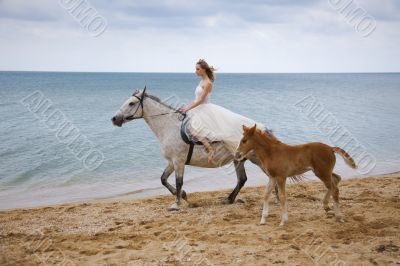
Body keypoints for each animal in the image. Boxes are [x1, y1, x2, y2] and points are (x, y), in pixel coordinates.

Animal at [111, 88, 268, 211]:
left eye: (131, 103)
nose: (114, 118)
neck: (169, 126)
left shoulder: (178, 161)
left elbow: (178, 182)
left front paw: (177, 204)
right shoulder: (172, 161)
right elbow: (163, 179)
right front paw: (183, 196)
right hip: (238, 159)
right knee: (242, 179)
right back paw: (229, 199)